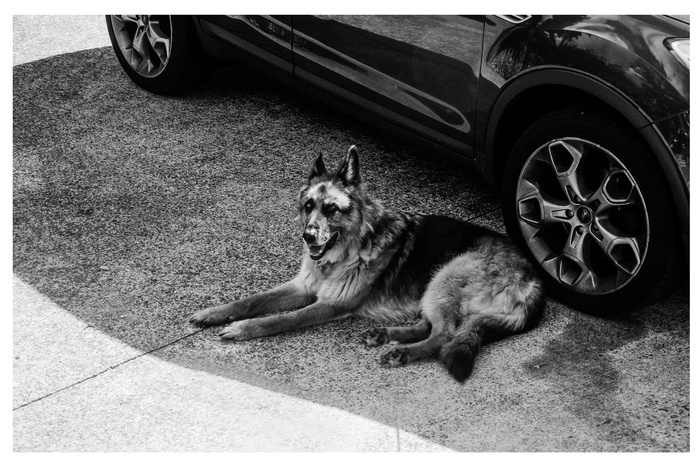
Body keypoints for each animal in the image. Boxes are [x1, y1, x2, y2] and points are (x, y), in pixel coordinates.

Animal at [189, 146, 544, 384]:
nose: (308, 236)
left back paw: (402, 352)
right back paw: (385, 334)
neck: (348, 251)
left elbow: (279, 319)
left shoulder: (331, 304)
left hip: (445, 276)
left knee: (445, 334)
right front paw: (214, 313)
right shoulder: (302, 287)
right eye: (308, 206)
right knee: (429, 326)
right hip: (434, 287)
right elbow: (252, 301)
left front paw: (243, 329)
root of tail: (533, 280)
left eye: (331, 209)